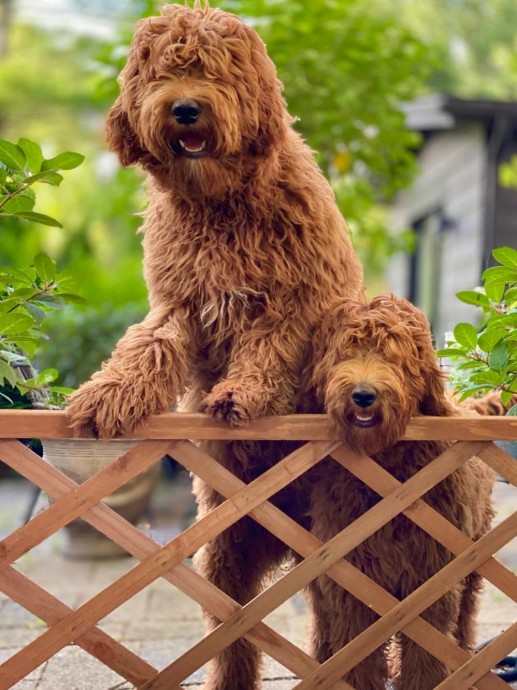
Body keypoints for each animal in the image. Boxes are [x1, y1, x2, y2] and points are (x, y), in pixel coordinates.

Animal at [65, 5, 362, 688]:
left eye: (213, 70)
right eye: (161, 72)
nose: (184, 109)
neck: (221, 204)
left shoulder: (293, 301)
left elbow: (268, 347)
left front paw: (240, 394)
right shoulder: (180, 303)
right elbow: (147, 345)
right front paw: (106, 394)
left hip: (335, 549)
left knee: (337, 629)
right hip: (226, 546)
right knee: (235, 634)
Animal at [308, 294, 494, 688]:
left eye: (393, 355)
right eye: (346, 351)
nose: (363, 395)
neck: (389, 471)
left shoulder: (433, 573)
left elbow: (428, 644)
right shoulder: (350, 574)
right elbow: (355, 645)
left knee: (464, 620)